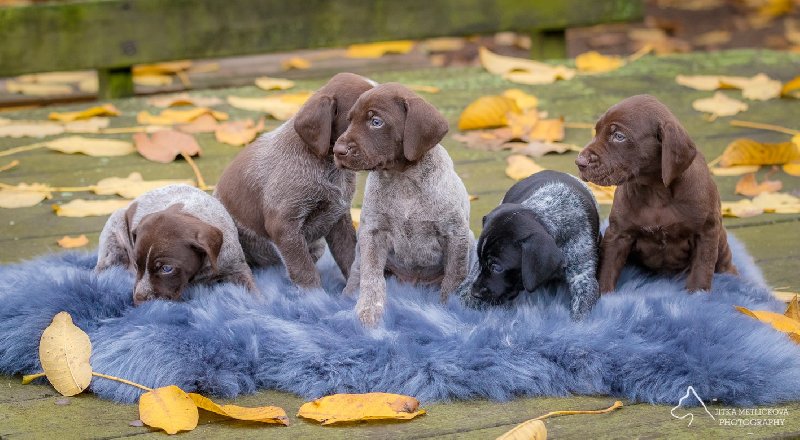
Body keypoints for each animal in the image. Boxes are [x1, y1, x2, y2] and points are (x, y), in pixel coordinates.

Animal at [94, 184, 258, 304]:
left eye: (167, 269)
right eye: (136, 264)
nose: (139, 301)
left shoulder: (237, 268)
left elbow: (254, 293)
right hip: (114, 234)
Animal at [212, 72, 376, 288]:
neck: (327, 166)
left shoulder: (339, 218)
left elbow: (349, 258)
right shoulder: (285, 226)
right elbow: (305, 272)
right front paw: (315, 296)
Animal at [332, 82, 472, 326]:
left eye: (376, 122)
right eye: (349, 121)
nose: (337, 151)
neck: (402, 180)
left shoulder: (456, 235)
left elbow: (453, 279)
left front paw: (448, 312)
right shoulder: (372, 232)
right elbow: (371, 277)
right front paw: (368, 311)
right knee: (357, 274)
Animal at [576, 93, 736, 294]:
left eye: (619, 136)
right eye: (596, 131)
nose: (579, 162)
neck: (656, 191)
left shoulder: (706, 233)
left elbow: (701, 271)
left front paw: (697, 296)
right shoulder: (618, 234)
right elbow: (607, 269)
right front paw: (604, 296)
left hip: (720, 240)